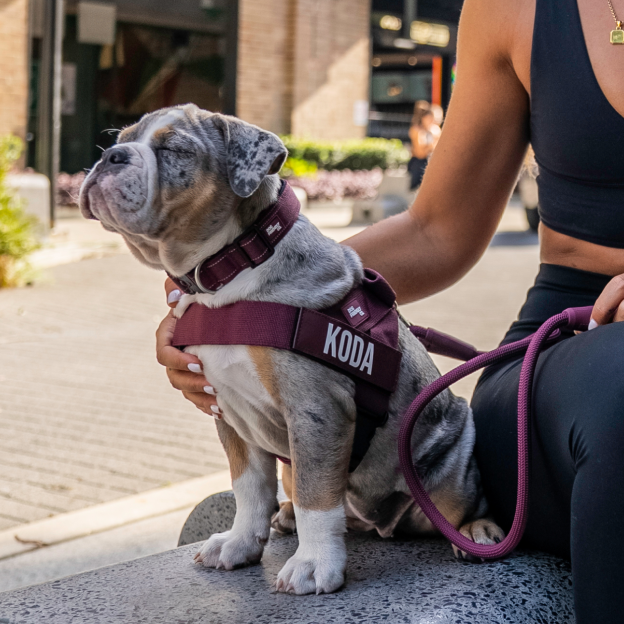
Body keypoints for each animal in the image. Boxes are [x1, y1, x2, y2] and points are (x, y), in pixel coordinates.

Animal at [80, 106, 504, 596]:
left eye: (173, 149)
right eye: (120, 140)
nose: (110, 156)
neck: (232, 265)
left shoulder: (316, 408)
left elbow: (317, 494)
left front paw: (315, 564)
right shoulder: (227, 410)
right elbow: (248, 487)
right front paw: (240, 543)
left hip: (448, 458)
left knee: (459, 502)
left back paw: (477, 530)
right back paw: (286, 517)